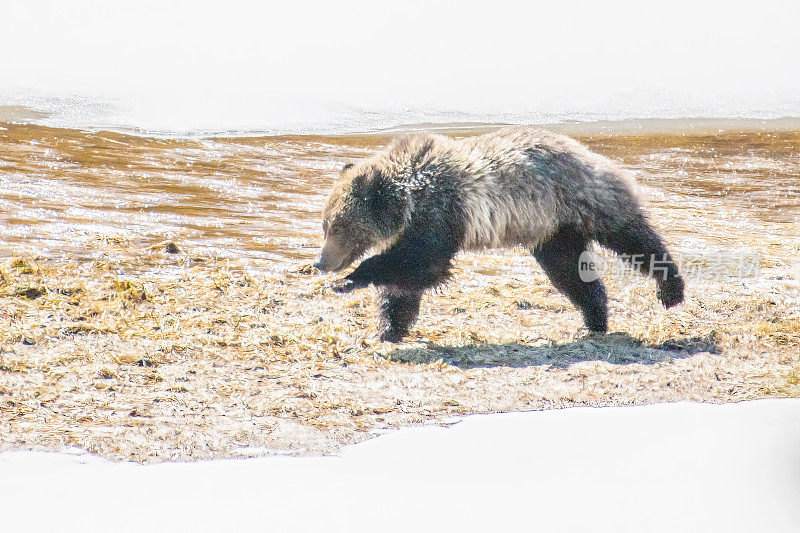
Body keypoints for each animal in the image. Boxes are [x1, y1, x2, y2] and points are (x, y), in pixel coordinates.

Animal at [316, 126, 684, 340]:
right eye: (325, 224)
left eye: (339, 226)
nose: (320, 262)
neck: (407, 199)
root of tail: (592, 152)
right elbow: (406, 283)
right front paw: (390, 327)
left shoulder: (441, 213)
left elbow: (419, 263)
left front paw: (350, 280)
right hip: (554, 228)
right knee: (569, 273)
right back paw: (595, 319)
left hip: (586, 199)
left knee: (632, 237)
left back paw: (671, 289)